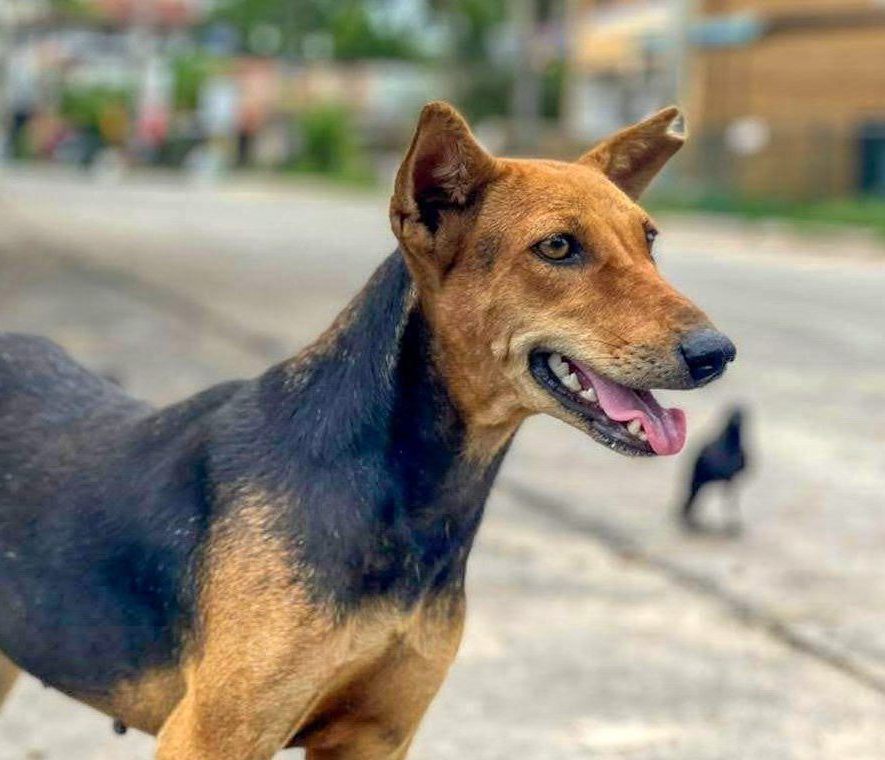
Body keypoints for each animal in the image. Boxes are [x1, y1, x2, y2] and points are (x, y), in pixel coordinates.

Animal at [0, 102, 732, 760]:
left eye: (649, 241)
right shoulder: (211, 734)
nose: (717, 353)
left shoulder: (378, 736)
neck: (403, 492)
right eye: (557, 247)